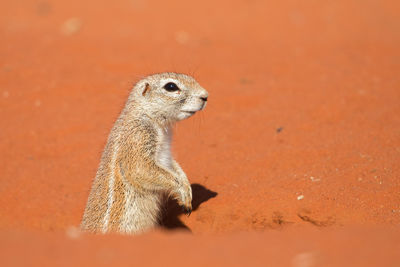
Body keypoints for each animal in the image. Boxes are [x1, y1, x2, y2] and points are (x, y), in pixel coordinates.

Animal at [80, 73, 208, 234]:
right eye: (171, 86)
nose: (205, 96)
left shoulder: (166, 155)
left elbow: (176, 168)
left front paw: (188, 192)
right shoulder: (138, 139)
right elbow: (142, 170)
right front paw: (183, 193)